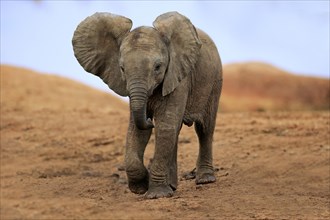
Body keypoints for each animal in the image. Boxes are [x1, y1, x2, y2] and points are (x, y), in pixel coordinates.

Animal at [72, 11, 222, 199]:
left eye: (158, 67)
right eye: (122, 68)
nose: (150, 120)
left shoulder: (178, 77)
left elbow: (165, 125)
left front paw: (157, 195)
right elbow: (138, 130)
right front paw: (141, 186)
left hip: (215, 80)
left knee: (204, 128)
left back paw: (205, 180)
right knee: (176, 131)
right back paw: (172, 185)